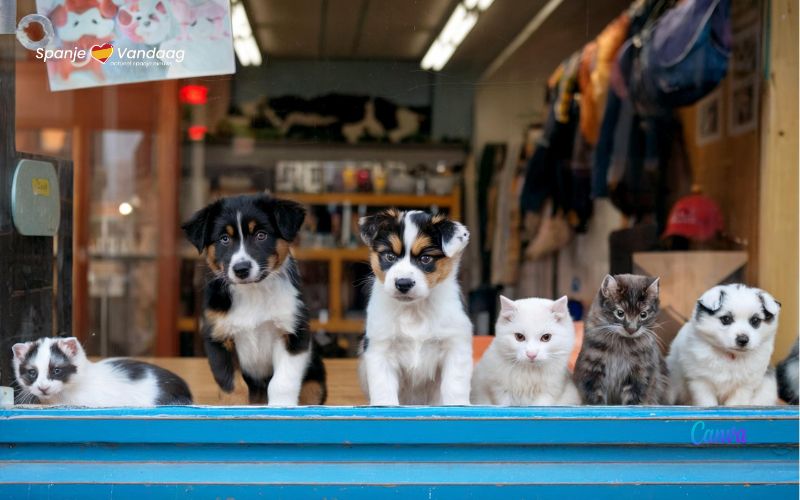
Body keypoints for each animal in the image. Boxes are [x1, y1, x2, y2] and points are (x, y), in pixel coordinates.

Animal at [183, 194, 326, 406]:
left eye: (261, 235)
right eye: (224, 239)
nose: (241, 269)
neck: (253, 292)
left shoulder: (293, 332)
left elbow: (282, 383)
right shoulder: (217, 337)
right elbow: (233, 385)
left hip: (315, 380)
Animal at [358, 209, 476, 404]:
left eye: (425, 258)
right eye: (390, 256)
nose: (403, 283)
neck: (414, 310)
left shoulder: (455, 346)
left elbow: (454, 387)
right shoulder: (380, 349)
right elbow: (384, 392)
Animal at [572, 274, 672, 406]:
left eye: (643, 315)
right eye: (620, 313)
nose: (631, 329)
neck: (622, 344)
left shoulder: (640, 373)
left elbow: (634, 399)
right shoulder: (591, 369)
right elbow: (595, 396)